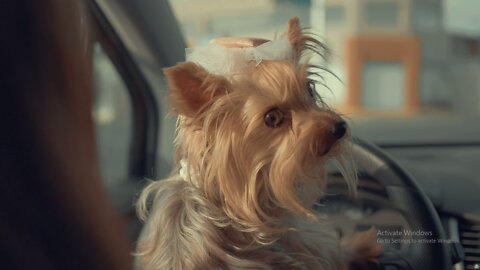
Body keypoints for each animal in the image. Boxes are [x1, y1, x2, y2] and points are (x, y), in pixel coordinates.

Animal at [133, 17, 380, 270]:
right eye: (272, 118)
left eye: (310, 89)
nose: (338, 127)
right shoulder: (298, 242)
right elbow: (330, 249)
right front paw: (362, 243)